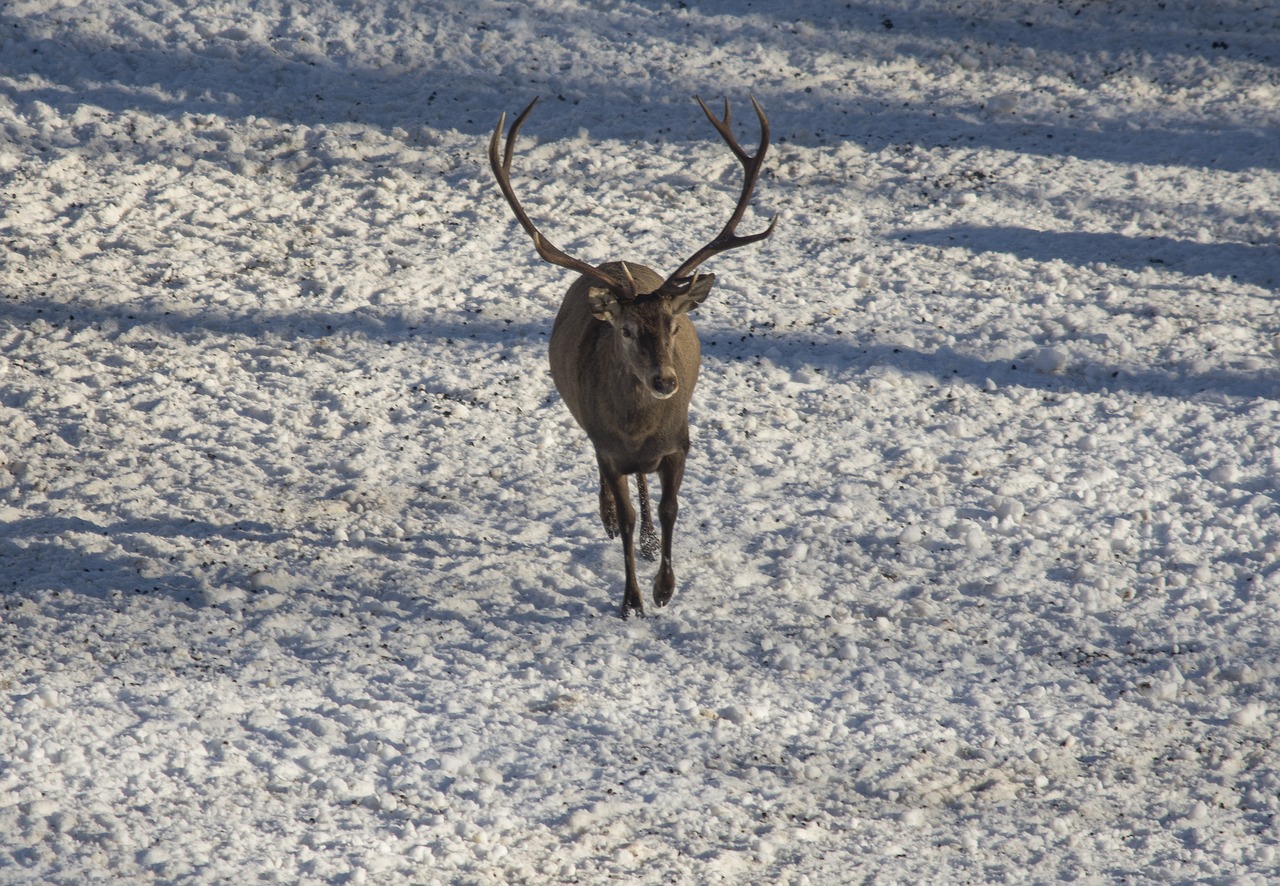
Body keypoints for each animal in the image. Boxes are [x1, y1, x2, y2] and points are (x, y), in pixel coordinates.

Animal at [486, 93, 768, 612]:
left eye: (673, 325)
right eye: (628, 330)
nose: (665, 381)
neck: (639, 431)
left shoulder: (680, 442)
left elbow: (670, 508)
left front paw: (664, 587)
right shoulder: (609, 449)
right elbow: (628, 510)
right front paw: (631, 599)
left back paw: (651, 543)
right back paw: (613, 523)